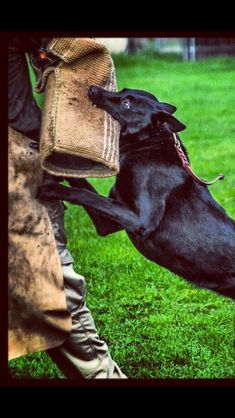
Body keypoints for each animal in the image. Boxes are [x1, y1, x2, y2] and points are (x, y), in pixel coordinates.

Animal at [37, 86, 235, 298]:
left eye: (126, 104)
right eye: (123, 91)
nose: (93, 89)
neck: (148, 144)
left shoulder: (139, 220)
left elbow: (88, 196)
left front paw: (51, 188)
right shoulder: (107, 224)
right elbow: (83, 185)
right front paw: (55, 165)